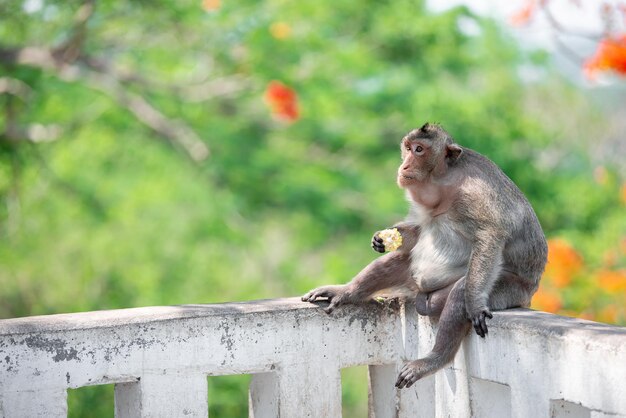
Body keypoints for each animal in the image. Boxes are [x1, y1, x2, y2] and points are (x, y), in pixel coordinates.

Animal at [300, 123, 544, 388]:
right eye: (407, 148)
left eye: (419, 150)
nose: (404, 166)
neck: (444, 180)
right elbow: (417, 231)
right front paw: (381, 239)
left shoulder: (474, 194)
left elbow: (490, 236)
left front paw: (476, 304)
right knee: (401, 261)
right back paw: (346, 292)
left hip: (512, 289)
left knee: (459, 293)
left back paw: (436, 359)